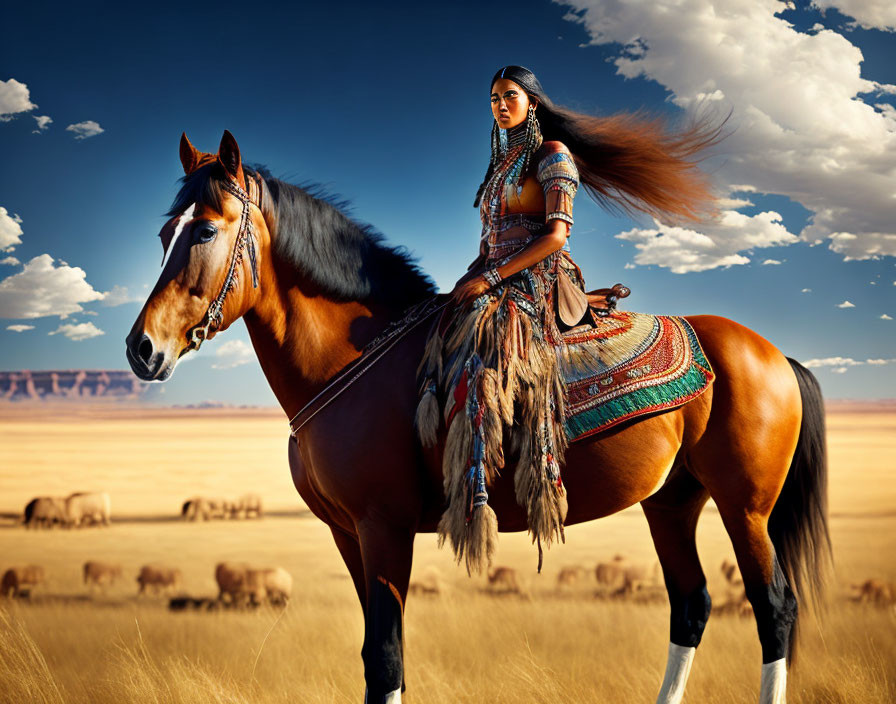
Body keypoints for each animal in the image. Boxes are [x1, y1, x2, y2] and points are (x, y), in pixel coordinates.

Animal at [128, 131, 832, 700]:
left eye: (205, 231)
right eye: (163, 235)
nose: (142, 349)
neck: (355, 358)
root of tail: (773, 354)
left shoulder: (384, 528)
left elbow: (385, 660)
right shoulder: (347, 534)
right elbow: (383, 656)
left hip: (745, 506)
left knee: (774, 609)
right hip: (672, 500)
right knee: (691, 605)